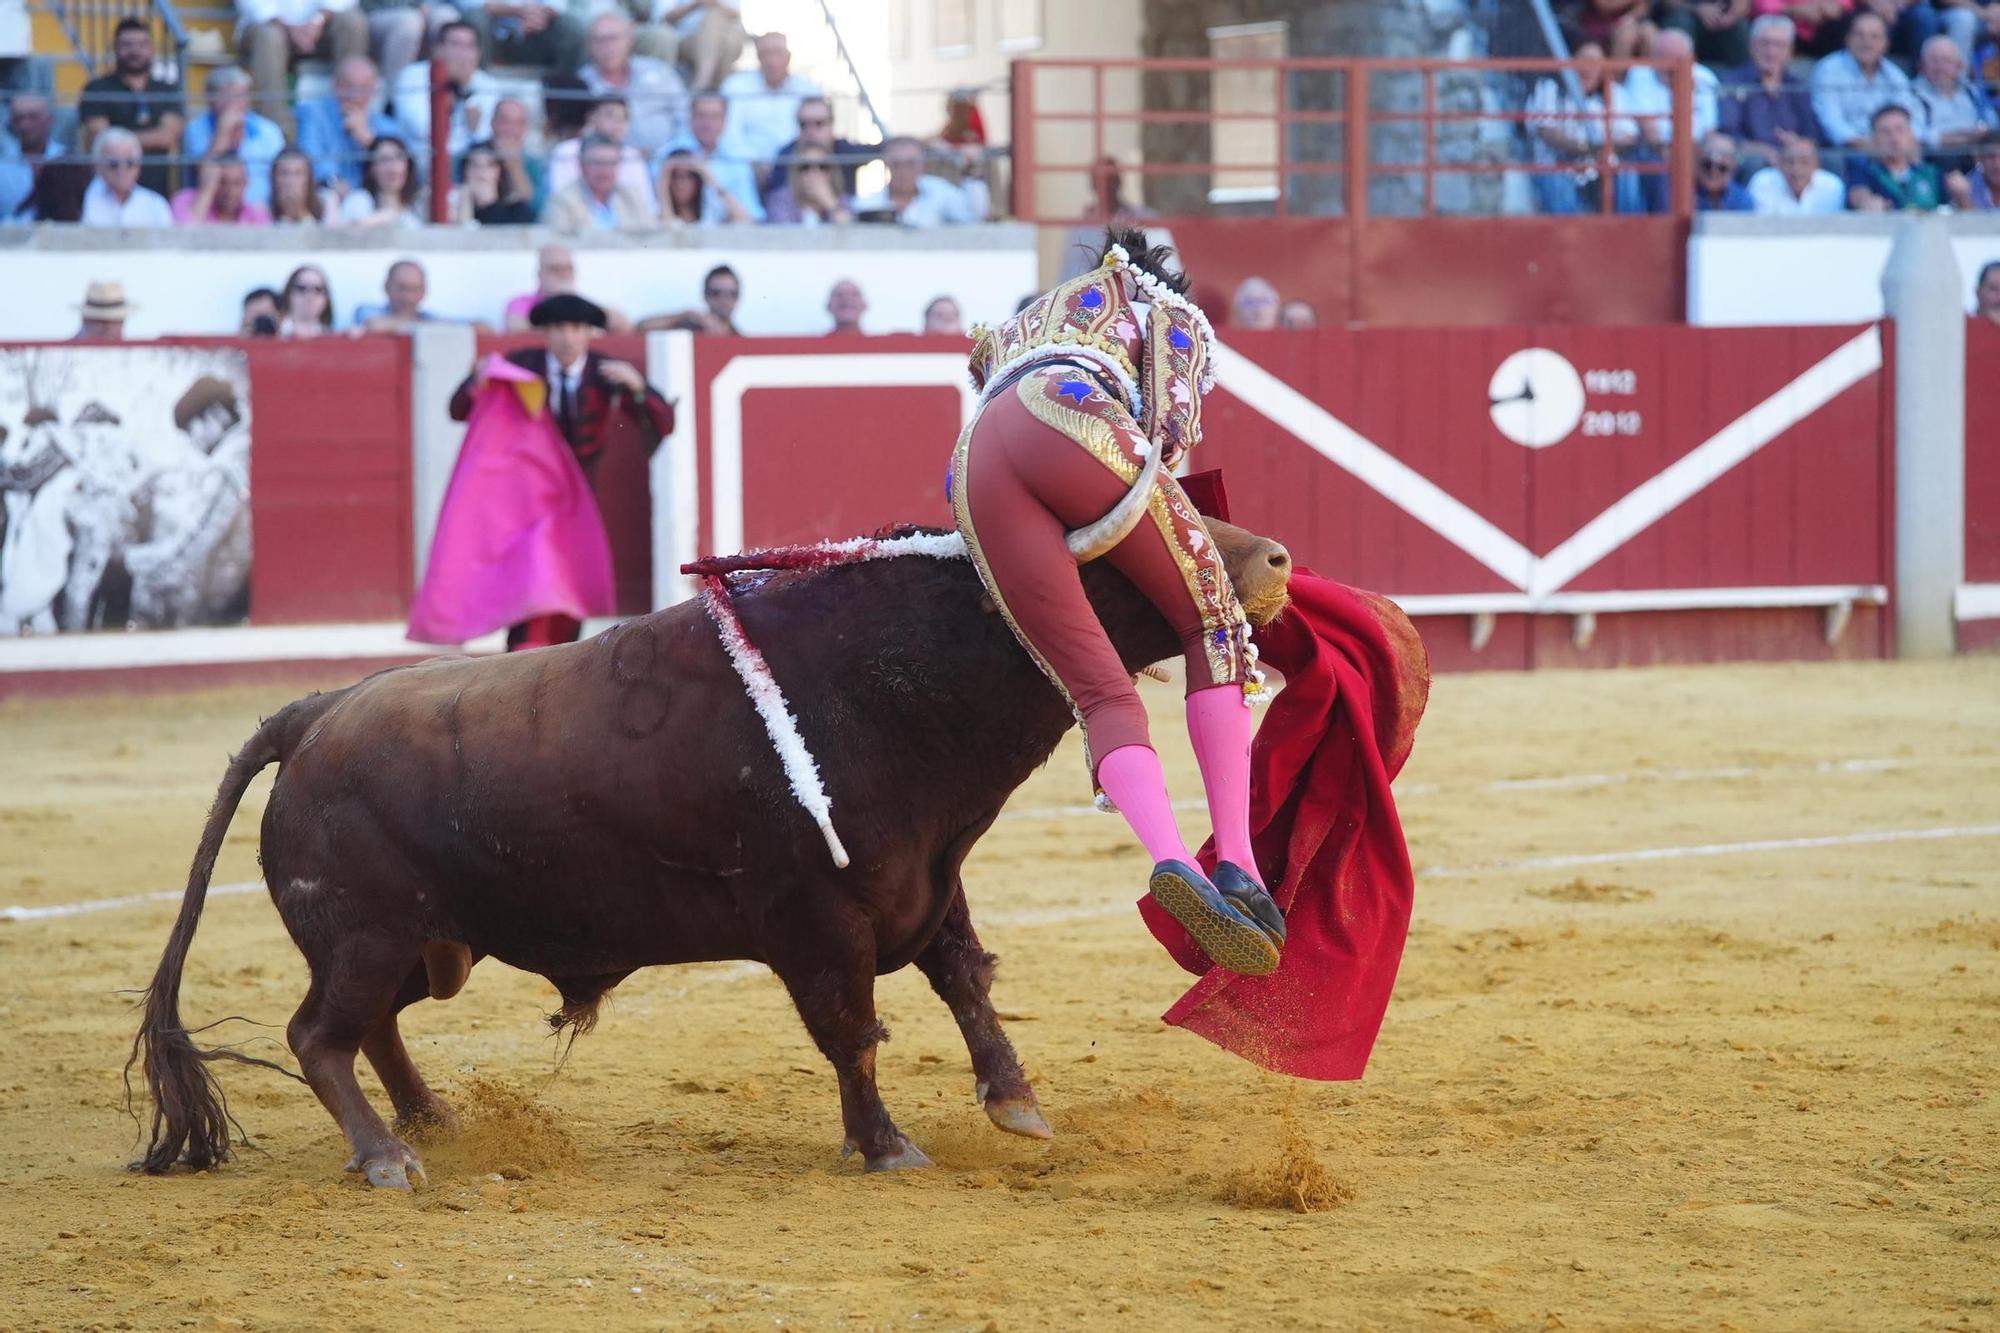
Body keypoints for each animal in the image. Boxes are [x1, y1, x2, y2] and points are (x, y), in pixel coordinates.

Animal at [137, 516, 1296, 1184]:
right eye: (1125, 545)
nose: (1278, 560)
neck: (885, 681)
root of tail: (314, 713)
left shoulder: (928, 883)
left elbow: (967, 983)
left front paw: (1017, 1104)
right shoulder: (817, 924)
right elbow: (853, 1032)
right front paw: (885, 1146)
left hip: (433, 945)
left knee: (368, 1026)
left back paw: (432, 1119)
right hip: (368, 935)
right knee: (317, 1034)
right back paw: (385, 1155)